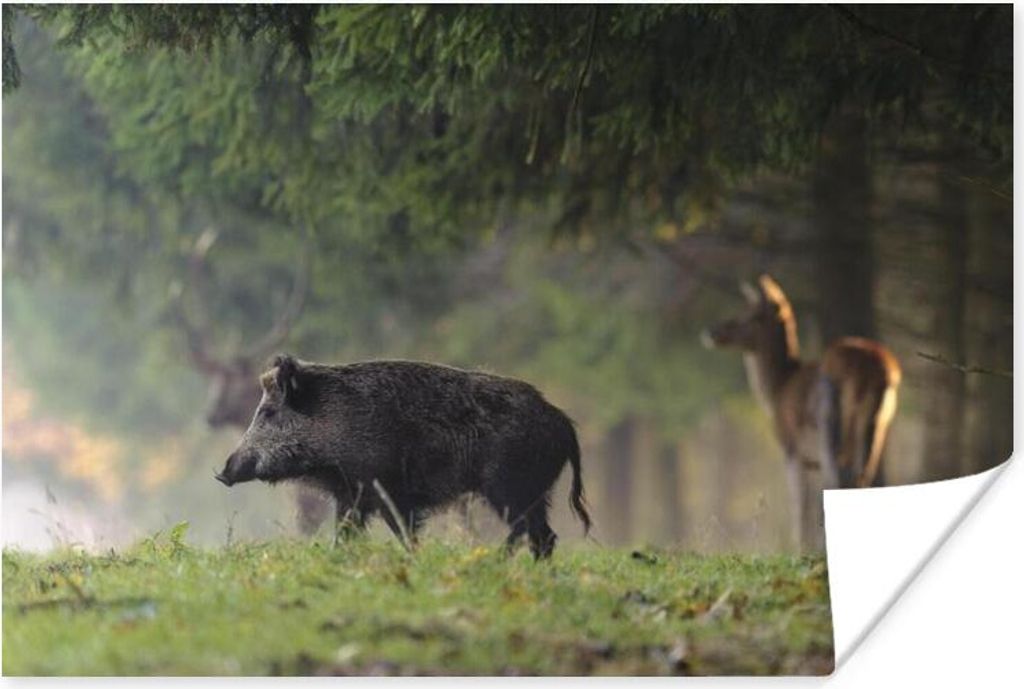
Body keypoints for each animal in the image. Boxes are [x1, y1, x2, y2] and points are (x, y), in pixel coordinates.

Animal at [215, 354, 591, 558]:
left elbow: (405, 535)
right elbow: (344, 537)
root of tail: (562, 422)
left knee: (529, 533)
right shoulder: (351, 497)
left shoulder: (390, 491)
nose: (222, 472)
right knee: (543, 537)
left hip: (510, 487)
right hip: (537, 491)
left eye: (267, 413)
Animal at [701, 274, 901, 551]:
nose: (712, 332)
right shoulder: (811, 460)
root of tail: (877, 371)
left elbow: (801, 505)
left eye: (752, 315)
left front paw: (800, 550)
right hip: (878, 423)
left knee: (838, 478)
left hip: (828, 420)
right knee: (864, 476)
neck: (777, 389)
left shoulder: (792, 450)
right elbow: (814, 503)